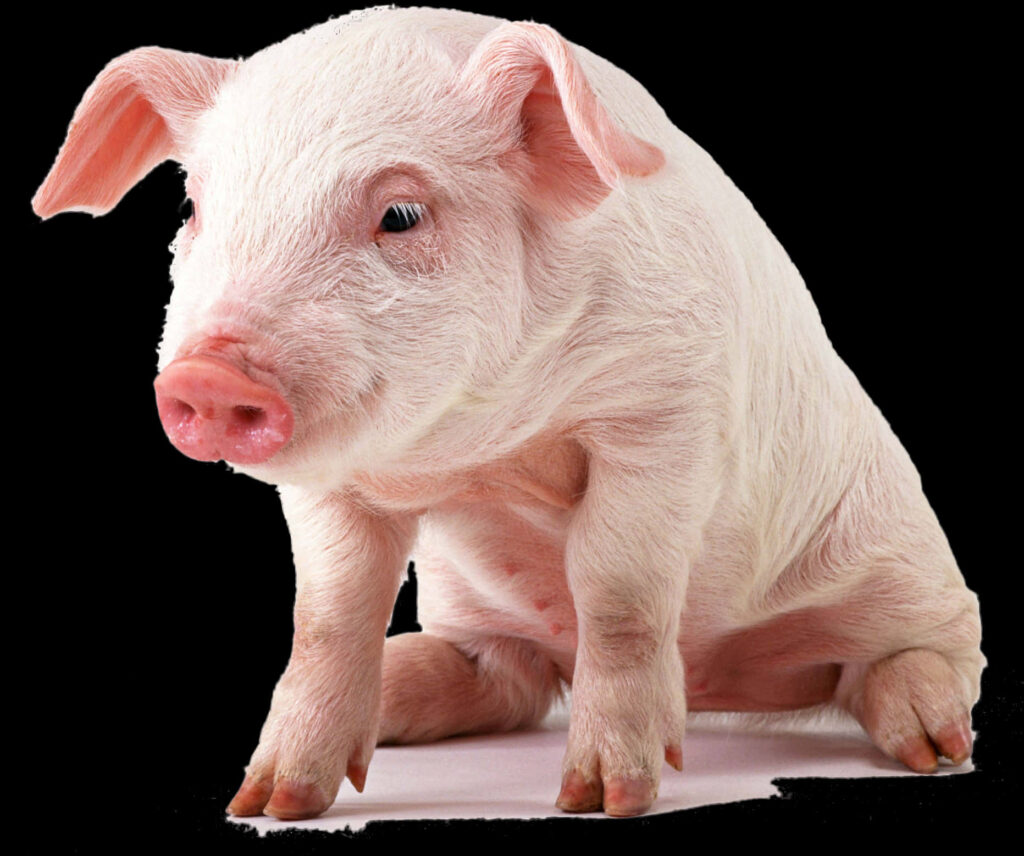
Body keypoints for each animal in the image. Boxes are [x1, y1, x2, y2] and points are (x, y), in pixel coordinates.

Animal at [32, 6, 984, 820]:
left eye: (401, 214)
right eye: (195, 207)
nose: (207, 372)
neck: (481, 443)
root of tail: (726, 686)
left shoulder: (663, 413)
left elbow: (619, 593)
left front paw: (604, 801)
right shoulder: (330, 485)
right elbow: (328, 614)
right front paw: (267, 804)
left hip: (900, 562)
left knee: (915, 655)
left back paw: (933, 744)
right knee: (506, 679)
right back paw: (403, 688)